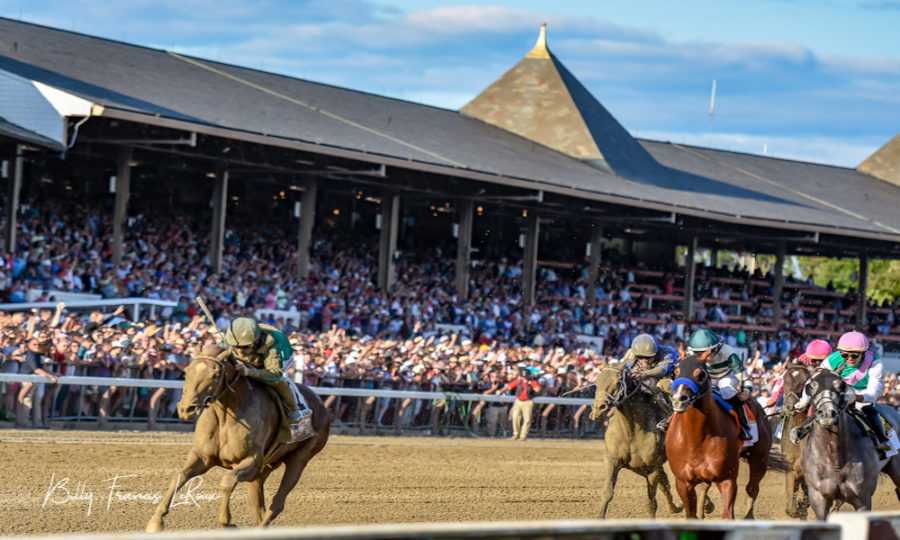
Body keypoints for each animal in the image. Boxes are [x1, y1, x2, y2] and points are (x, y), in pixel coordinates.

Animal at [144, 346, 330, 532]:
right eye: (187, 371)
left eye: (215, 374)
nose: (185, 409)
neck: (227, 415)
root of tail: (321, 403)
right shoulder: (202, 457)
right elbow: (179, 477)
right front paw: (156, 521)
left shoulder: (251, 460)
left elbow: (227, 482)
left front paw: (229, 523)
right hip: (267, 466)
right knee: (257, 503)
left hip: (300, 458)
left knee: (277, 503)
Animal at [592, 362, 684, 520]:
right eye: (597, 381)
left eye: (618, 381)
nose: (599, 408)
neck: (631, 432)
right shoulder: (612, 460)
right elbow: (607, 493)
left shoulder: (652, 469)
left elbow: (651, 503)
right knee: (665, 482)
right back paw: (675, 508)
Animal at [660, 354, 772, 520]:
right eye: (675, 372)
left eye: (701, 374)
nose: (679, 398)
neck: (696, 438)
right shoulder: (683, 482)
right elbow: (691, 513)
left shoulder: (727, 479)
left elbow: (728, 515)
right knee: (705, 486)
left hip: (759, 460)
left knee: (752, 488)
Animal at [800, 368, 900, 520]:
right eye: (810, 387)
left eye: (841, 385)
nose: (826, 413)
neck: (834, 457)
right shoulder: (818, 498)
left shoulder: (862, 498)